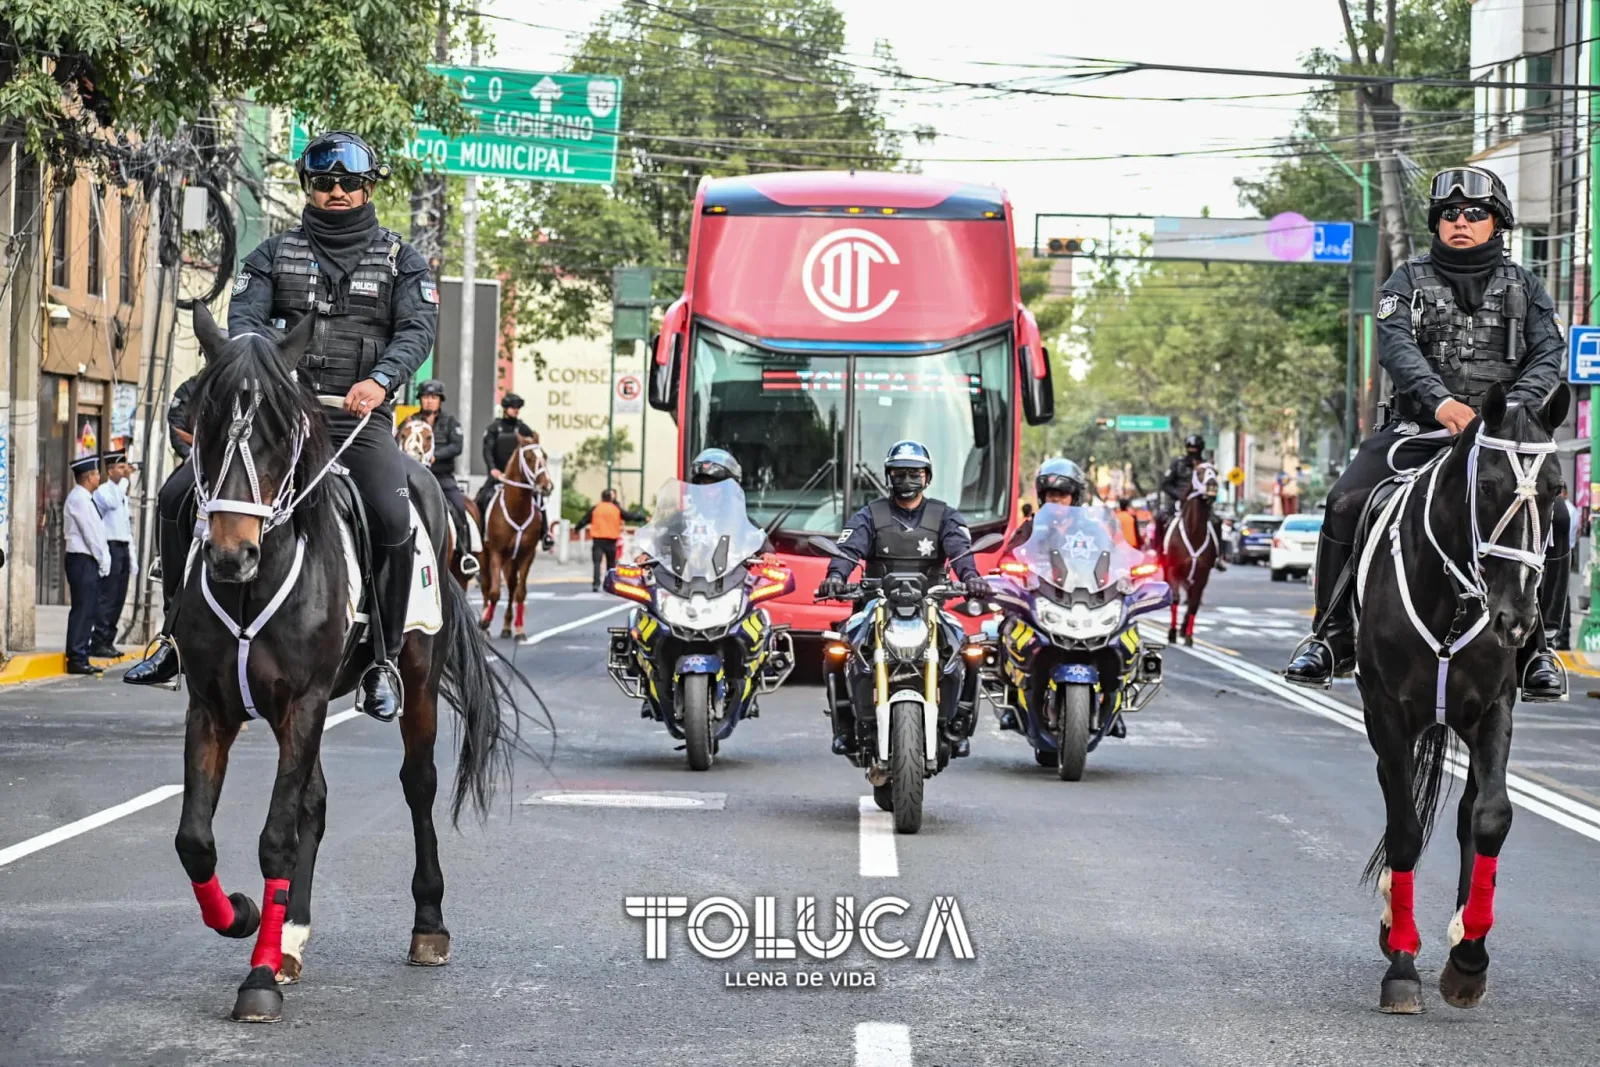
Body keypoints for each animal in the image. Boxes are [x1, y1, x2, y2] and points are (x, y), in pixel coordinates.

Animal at [174, 302, 528, 1023]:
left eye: (281, 432)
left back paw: (428, 925)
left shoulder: (304, 702)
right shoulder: (213, 704)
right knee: (314, 801)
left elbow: (276, 835)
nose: (229, 554)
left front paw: (256, 977)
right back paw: (290, 935)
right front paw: (246, 917)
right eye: (206, 421)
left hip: (417, 676)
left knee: (418, 782)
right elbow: (196, 838)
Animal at [476, 438, 553, 639]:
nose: (547, 486)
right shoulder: (496, 552)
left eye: (545, 456)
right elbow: (494, 592)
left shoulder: (527, 554)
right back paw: (485, 623)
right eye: (529, 457)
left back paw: (506, 626)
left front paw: (519, 629)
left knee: (511, 586)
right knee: (486, 586)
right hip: (486, 556)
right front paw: (485, 621)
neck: (516, 509)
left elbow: (520, 592)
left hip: (512, 559)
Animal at [1164, 460, 1222, 646]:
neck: (1194, 532)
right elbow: (1174, 599)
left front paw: (1188, 636)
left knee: (1191, 599)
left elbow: (1194, 604)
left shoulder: (1203, 575)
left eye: (1215, 472)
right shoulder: (1172, 570)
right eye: (1199, 471)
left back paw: (1184, 629)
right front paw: (1172, 633)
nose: (1212, 485)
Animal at [1350, 379, 1561, 1017]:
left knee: (1469, 812)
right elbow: (1404, 830)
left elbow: (1490, 817)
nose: (1517, 620)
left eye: (1557, 489)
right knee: (1399, 805)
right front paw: (1401, 965)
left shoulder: (1493, 711)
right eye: (1487, 486)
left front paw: (1468, 959)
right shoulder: (1388, 716)